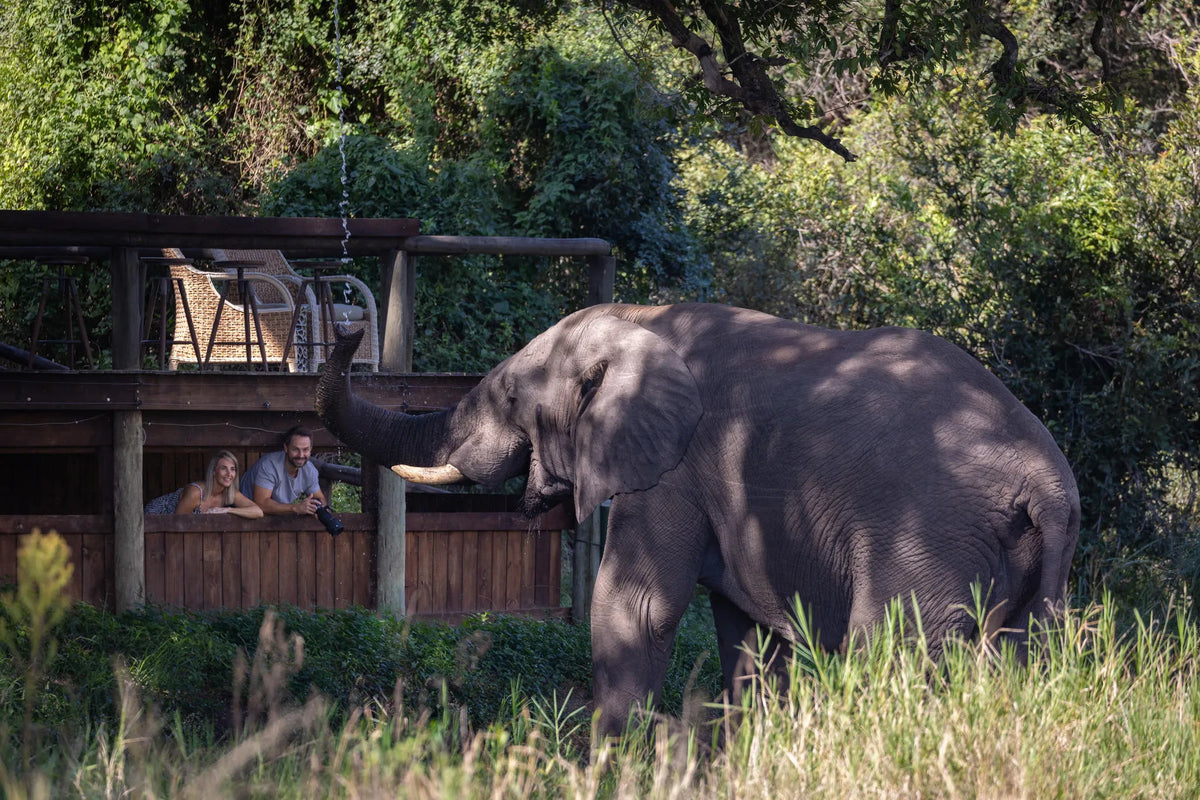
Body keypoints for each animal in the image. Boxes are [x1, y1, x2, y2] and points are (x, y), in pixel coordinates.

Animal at [316, 302, 1080, 736]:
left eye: (508, 396)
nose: (349, 328)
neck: (637, 318)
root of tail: (1047, 483)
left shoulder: (673, 467)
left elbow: (637, 607)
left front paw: (609, 762)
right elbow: (749, 638)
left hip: (928, 542)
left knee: (885, 654)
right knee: (1016, 664)